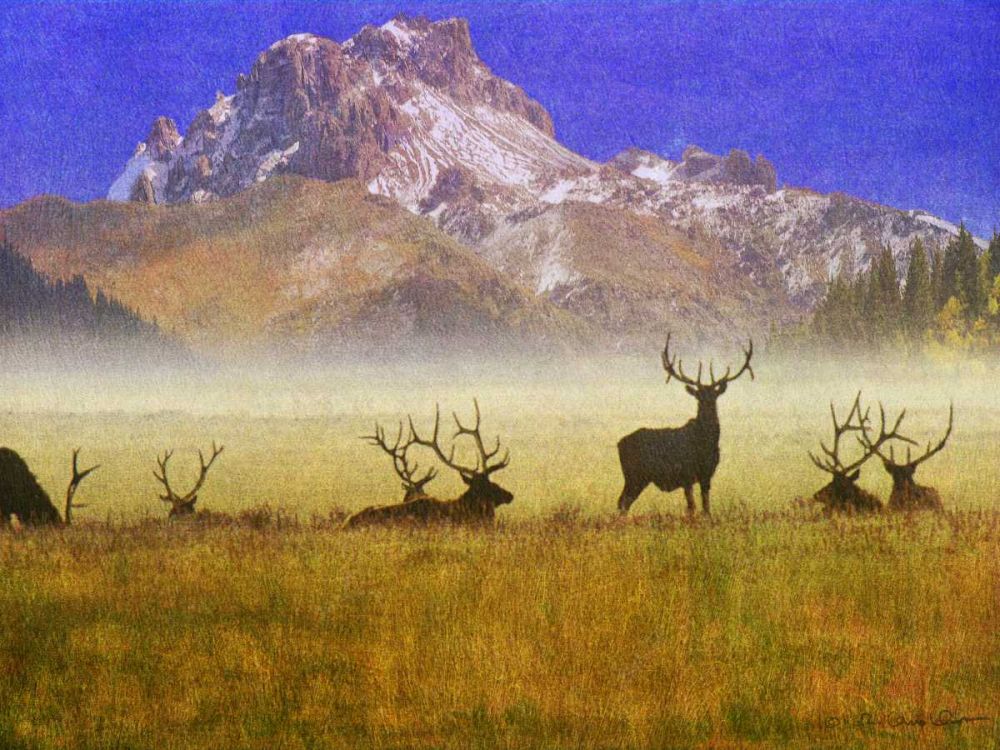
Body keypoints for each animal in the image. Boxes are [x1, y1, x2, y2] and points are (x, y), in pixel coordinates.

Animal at [616, 334, 754, 515]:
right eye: (698, 396)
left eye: (714, 395)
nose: (707, 406)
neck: (705, 445)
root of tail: (619, 444)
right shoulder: (686, 474)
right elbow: (692, 507)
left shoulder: (707, 475)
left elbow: (706, 507)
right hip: (635, 475)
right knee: (623, 503)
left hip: (637, 478)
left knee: (622, 502)